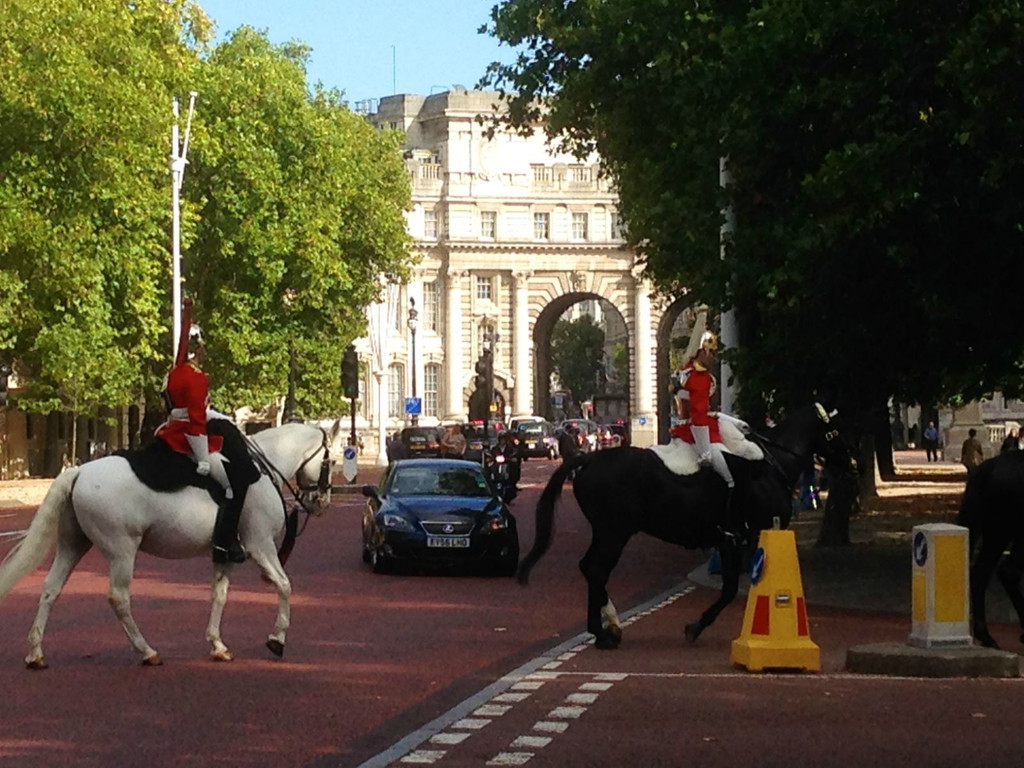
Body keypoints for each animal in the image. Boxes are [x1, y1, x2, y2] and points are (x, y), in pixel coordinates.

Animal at [0, 421, 337, 667]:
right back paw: (147, 651)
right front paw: (277, 639)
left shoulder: (226, 553)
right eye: (331, 460)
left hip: (74, 544)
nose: (321, 502)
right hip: (122, 550)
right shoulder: (261, 544)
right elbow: (284, 585)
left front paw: (217, 644)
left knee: (51, 589)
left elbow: (220, 595)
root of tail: (79, 469)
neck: (261, 469)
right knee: (118, 597)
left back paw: (36, 653)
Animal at [516, 403, 851, 651]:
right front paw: (697, 626)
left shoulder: (730, 540)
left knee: (589, 568)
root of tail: (589, 459)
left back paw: (605, 627)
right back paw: (604, 632)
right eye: (834, 431)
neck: (770, 466)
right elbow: (731, 589)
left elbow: (732, 587)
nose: (851, 467)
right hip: (614, 533)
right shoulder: (748, 536)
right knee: (596, 570)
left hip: (606, 532)